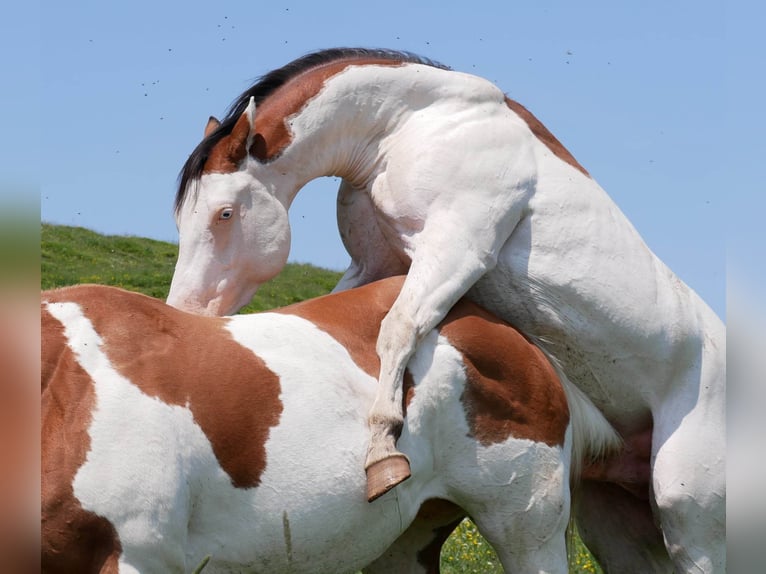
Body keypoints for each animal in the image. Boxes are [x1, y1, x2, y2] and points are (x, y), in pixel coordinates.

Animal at [166, 48, 728, 572]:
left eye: (224, 213)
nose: (184, 311)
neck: (410, 124)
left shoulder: (457, 251)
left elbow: (397, 330)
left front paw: (383, 452)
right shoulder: (376, 265)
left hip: (685, 515)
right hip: (614, 526)